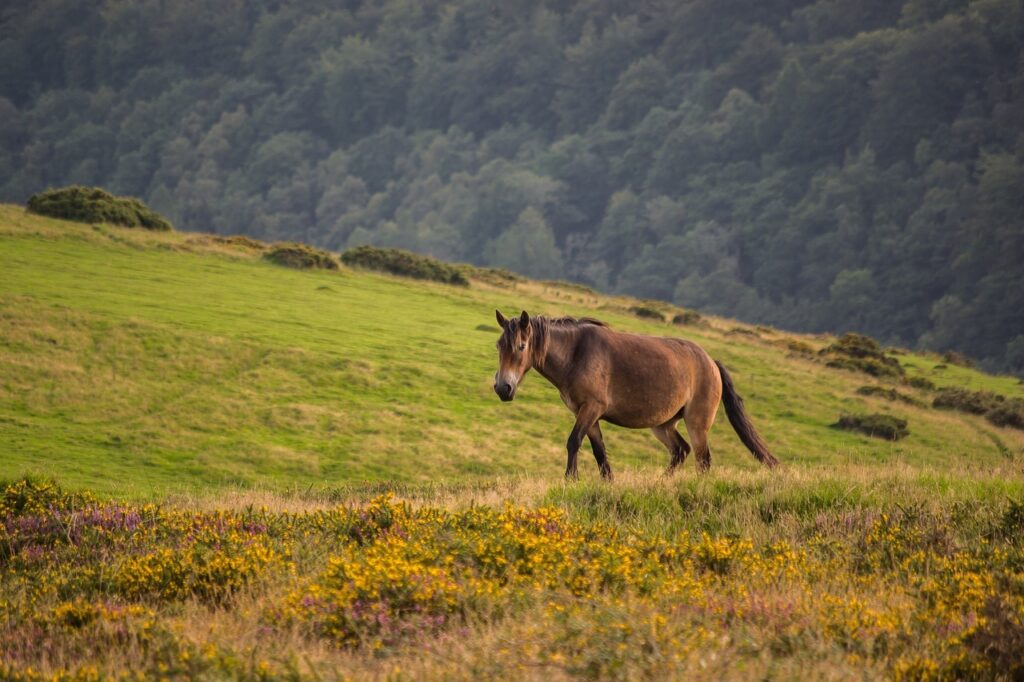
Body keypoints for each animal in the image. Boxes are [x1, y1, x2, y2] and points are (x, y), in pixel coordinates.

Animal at [492, 310, 779, 480]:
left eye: (521, 346)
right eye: (499, 346)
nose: (503, 388)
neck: (576, 354)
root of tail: (711, 363)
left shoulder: (591, 408)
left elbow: (574, 442)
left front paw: (570, 480)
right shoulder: (587, 413)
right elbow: (599, 452)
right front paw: (606, 483)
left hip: (697, 423)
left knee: (702, 460)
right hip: (663, 425)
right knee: (681, 451)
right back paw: (662, 483)